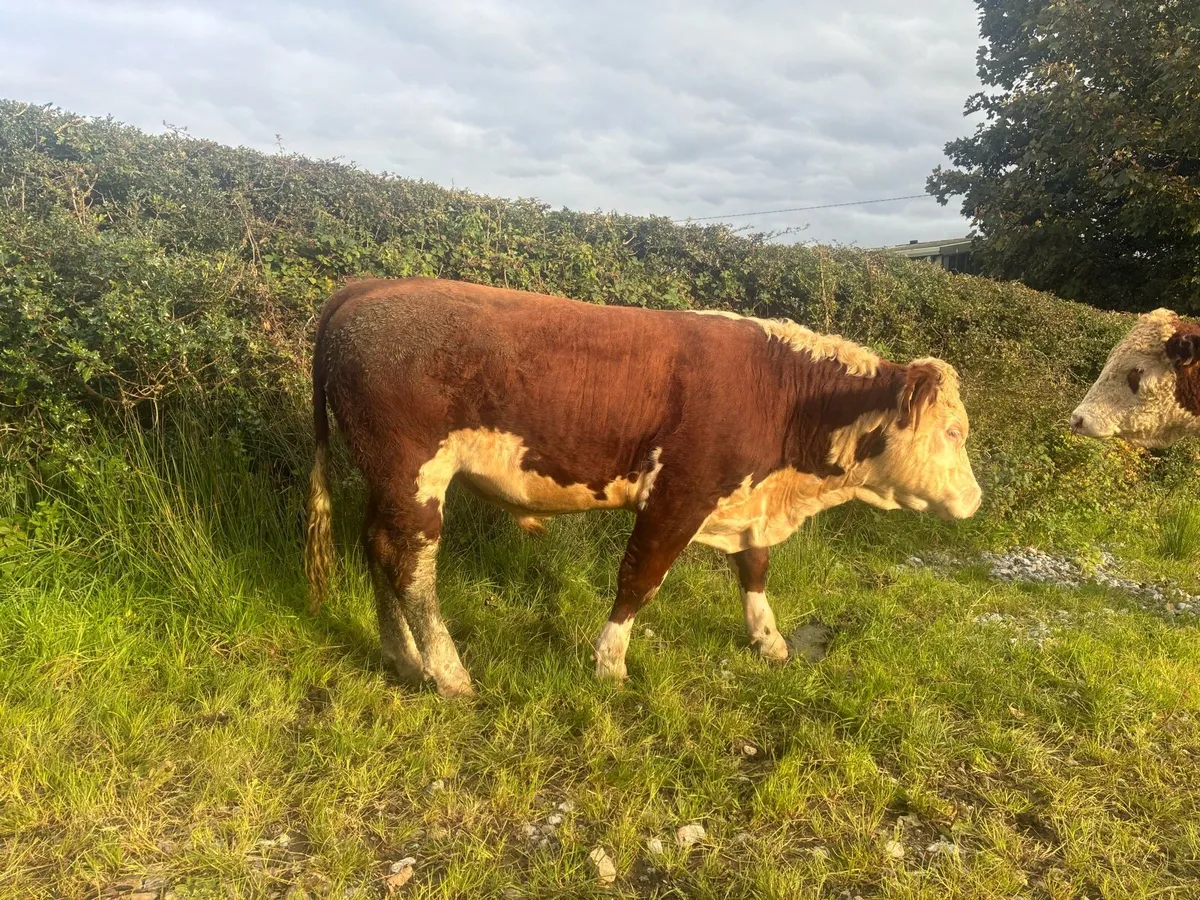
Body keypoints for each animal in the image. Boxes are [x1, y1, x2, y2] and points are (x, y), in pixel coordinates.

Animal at [303, 277, 982, 697]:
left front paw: (768, 641)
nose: (975, 501)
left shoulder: (746, 499)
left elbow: (754, 568)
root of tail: (367, 287)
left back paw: (402, 657)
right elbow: (640, 578)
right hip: (413, 473)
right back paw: (448, 673)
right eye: (953, 430)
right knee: (412, 567)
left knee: (378, 549)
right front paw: (609, 662)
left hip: (385, 478)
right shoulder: (679, 494)